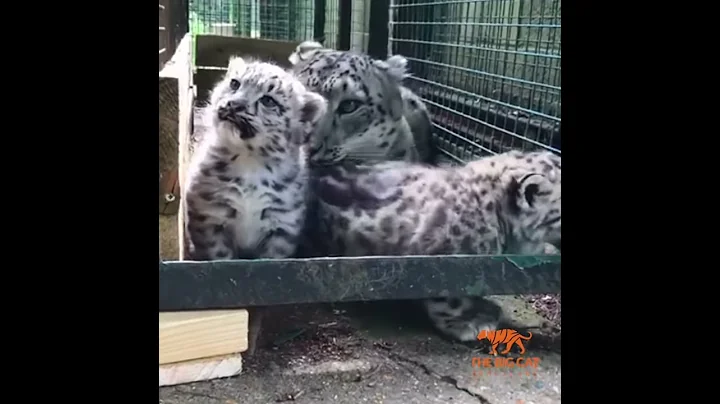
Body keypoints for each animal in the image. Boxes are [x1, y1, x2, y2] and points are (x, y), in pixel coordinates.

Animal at [183, 54, 326, 354]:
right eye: (235, 84)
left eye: (269, 100)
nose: (233, 104)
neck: (250, 164)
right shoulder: (211, 218)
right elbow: (225, 268)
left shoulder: (279, 232)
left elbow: (261, 284)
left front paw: (252, 334)